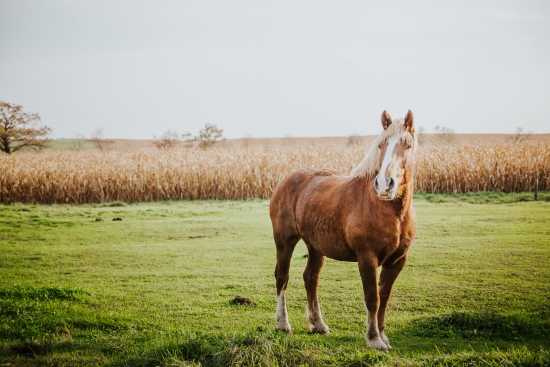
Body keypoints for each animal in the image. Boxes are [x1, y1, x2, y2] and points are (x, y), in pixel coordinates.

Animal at [270, 110, 418, 350]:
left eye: (408, 145)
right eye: (381, 145)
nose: (385, 184)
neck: (390, 212)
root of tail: (287, 180)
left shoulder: (397, 261)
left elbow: (384, 297)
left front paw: (383, 336)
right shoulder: (367, 258)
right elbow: (372, 298)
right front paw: (374, 339)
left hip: (315, 247)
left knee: (311, 278)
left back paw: (318, 324)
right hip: (285, 242)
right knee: (282, 277)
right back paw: (283, 324)